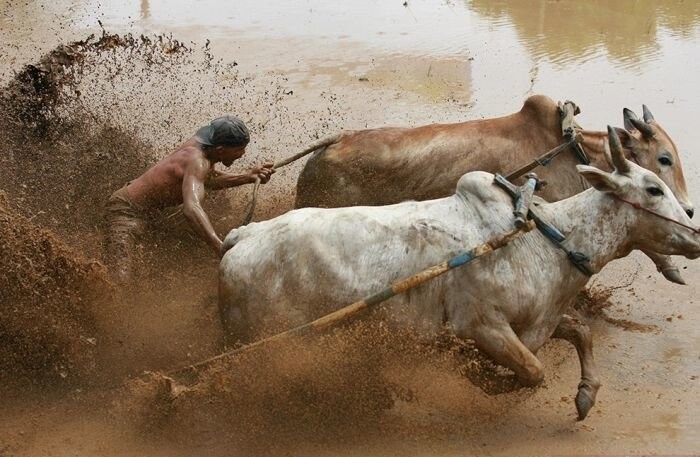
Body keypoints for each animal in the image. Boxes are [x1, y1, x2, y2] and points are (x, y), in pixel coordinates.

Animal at [219, 129, 700, 420]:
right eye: (653, 187)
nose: (695, 232)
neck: (549, 237)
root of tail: (242, 237)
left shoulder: (539, 319)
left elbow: (580, 331)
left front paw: (585, 395)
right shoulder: (480, 325)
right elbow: (533, 372)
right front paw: (480, 378)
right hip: (270, 341)